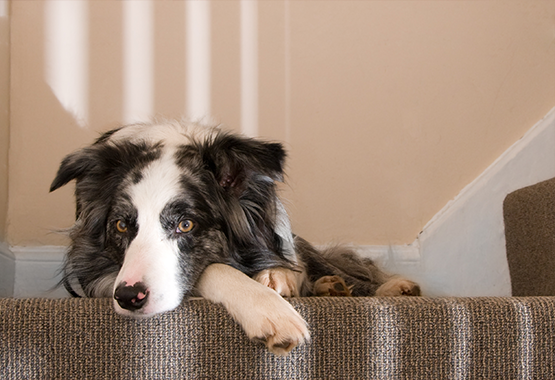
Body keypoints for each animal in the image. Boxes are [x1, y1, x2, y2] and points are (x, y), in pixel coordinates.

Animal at [50, 120, 420, 354]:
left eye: (186, 225)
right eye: (121, 226)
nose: (129, 297)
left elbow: (287, 264)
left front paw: (277, 277)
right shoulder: (100, 274)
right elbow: (215, 268)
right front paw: (268, 309)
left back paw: (382, 287)